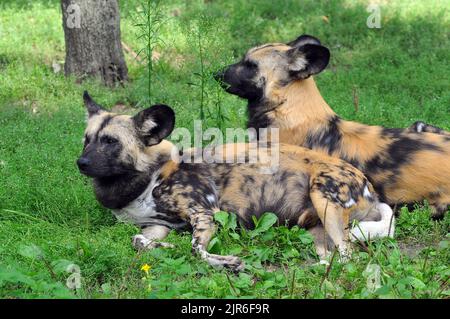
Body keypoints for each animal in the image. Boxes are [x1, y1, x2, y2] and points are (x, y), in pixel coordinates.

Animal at [77, 92, 394, 270]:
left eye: (111, 142)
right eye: (87, 140)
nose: (81, 163)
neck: (147, 179)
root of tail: (369, 188)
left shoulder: (205, 212)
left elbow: (196, 249)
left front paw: (228, 262)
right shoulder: (157, 225)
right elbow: (139, 241)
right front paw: (167, 249)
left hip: (323, 197)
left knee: (348, 257)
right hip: (315, 229)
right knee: (331, 258)